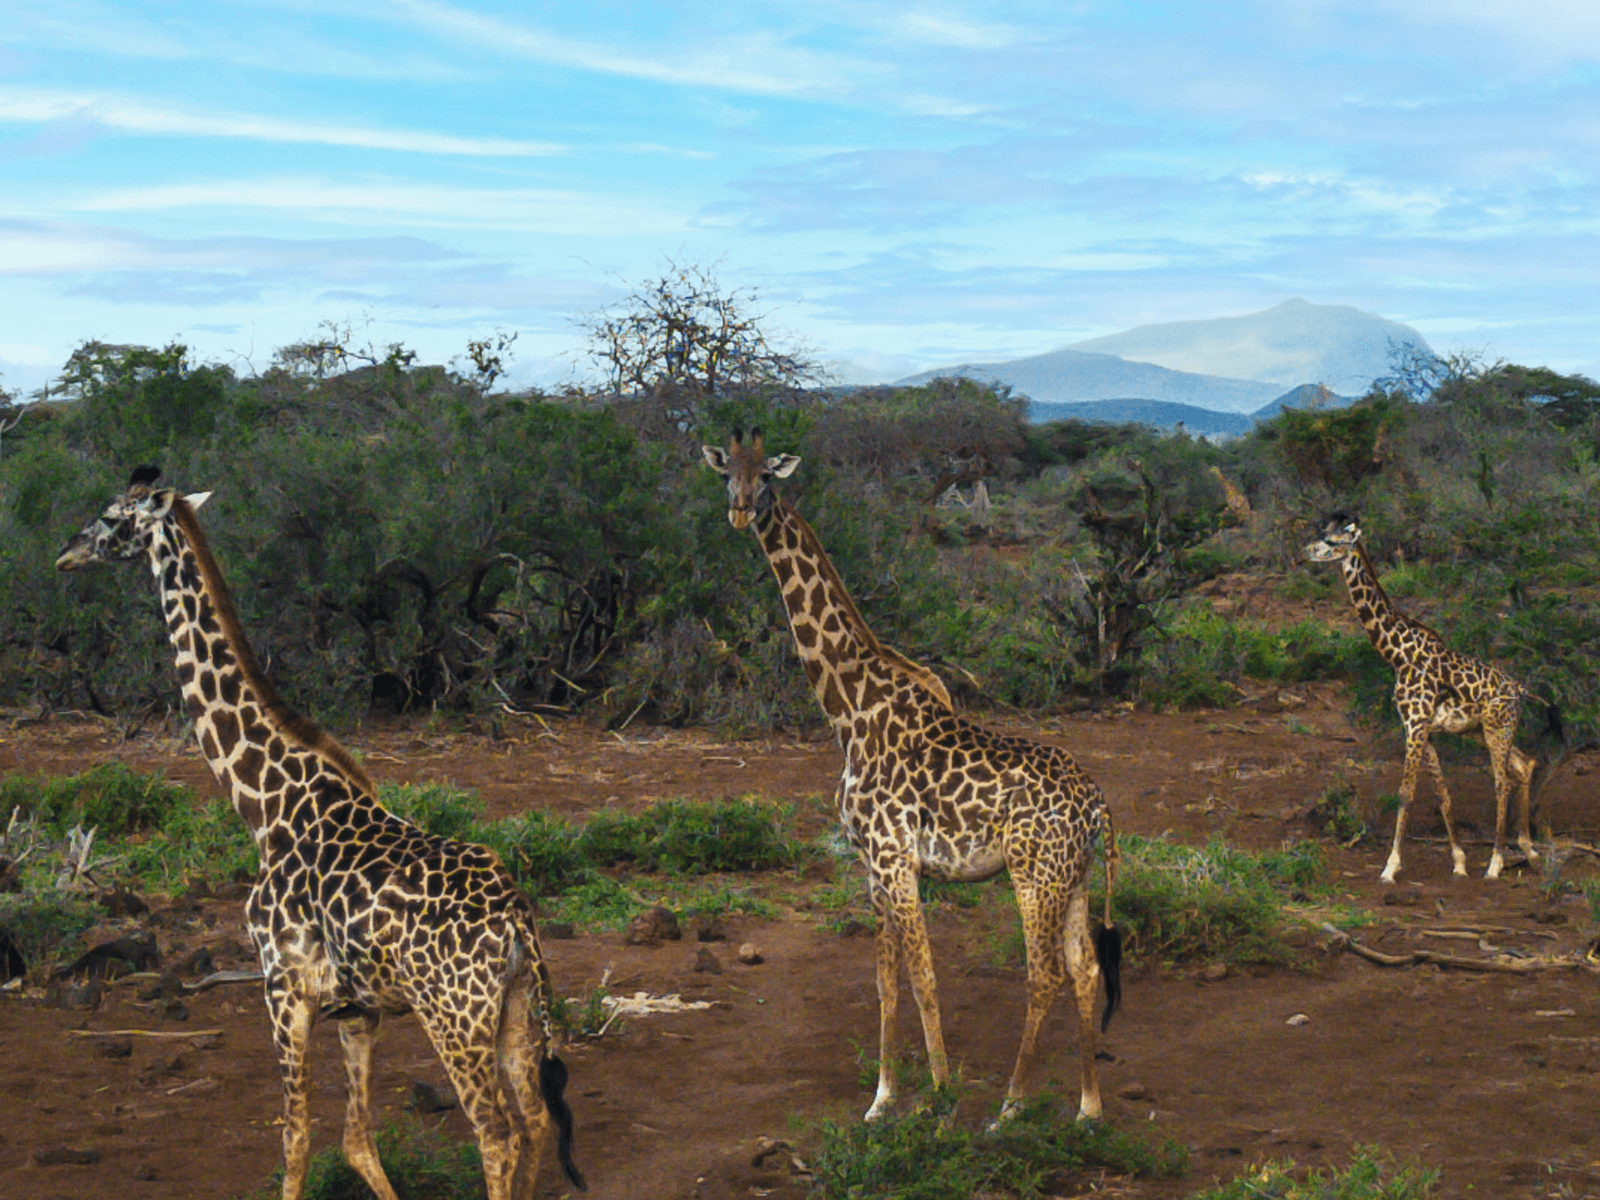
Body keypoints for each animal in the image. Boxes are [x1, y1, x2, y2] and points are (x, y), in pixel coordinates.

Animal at [55, 467, 585, 1200]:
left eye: (111, 517)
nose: (65, 554)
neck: (267, 808)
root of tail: (515, 921)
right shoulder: (357, 1008)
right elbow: (357, 1140)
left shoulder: (283, 986)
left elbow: (296, 1137)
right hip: (516, 1008)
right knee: (533, 1121)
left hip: (453, 1016)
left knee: (497, 1135)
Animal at [703, 429, 1122, 1124]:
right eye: (725, 473)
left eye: (766, 475)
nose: (739, 510)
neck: (847, 709)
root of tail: (1098, 807)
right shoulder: (873, 865)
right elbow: (886, 982)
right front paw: (882, 1098)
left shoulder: (896, 859)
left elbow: (924, 976)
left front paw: (941, 1095)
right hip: (1075, 877)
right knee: (1085, 970)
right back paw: (1087, 1108)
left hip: (1033, 875)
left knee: (1045, 975)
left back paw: (1009, 1109)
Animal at [1303, 511, 1541, 883]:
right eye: (1321, 535)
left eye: (1331, 541)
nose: (1307, 550)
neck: (1397, 653)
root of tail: (1521, 690)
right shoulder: (1423, 729)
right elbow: (1442, 793)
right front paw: (1459, 863)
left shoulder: (1415, 725)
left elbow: (1405, 793)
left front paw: (1390, 867)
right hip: (1482, 730)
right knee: (1524, 765)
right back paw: (1529, 851)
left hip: (1495, 728)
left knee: (1502, 782)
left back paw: (1496, 863)